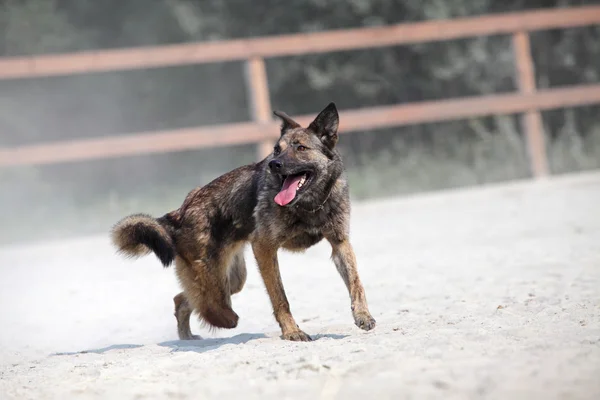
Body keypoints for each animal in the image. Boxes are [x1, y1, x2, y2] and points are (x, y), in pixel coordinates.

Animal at [111, 102, 376, 340]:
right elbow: (280, 297)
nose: (274, 164)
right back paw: (224, 320)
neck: (309, 204)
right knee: (206, 303)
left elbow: (356, 283)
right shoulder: (264, 249)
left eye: (301, 148)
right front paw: (292, 332)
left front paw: (363, 315)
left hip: (233, 279)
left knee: (185, 299)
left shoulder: (339, 244)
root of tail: (181, 211)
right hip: (215, 280)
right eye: (277, 149)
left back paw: (188, 336)